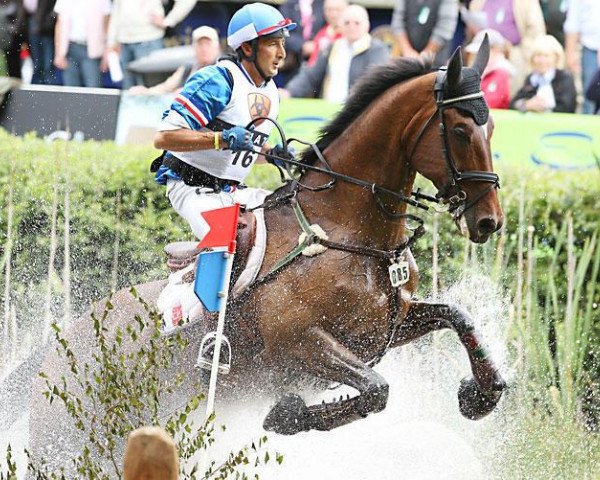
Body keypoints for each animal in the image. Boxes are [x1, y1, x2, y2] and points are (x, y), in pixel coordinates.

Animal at [29, 35, 506, 460]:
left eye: (492, 128)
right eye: (460, 130)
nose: (489, 221)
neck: (351, 233)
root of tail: (55, 348)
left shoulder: (389, 324)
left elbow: (458, 316)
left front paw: (481, 394)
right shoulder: (300, 343)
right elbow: (376, 390)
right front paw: (288, 413)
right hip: (68, 441)